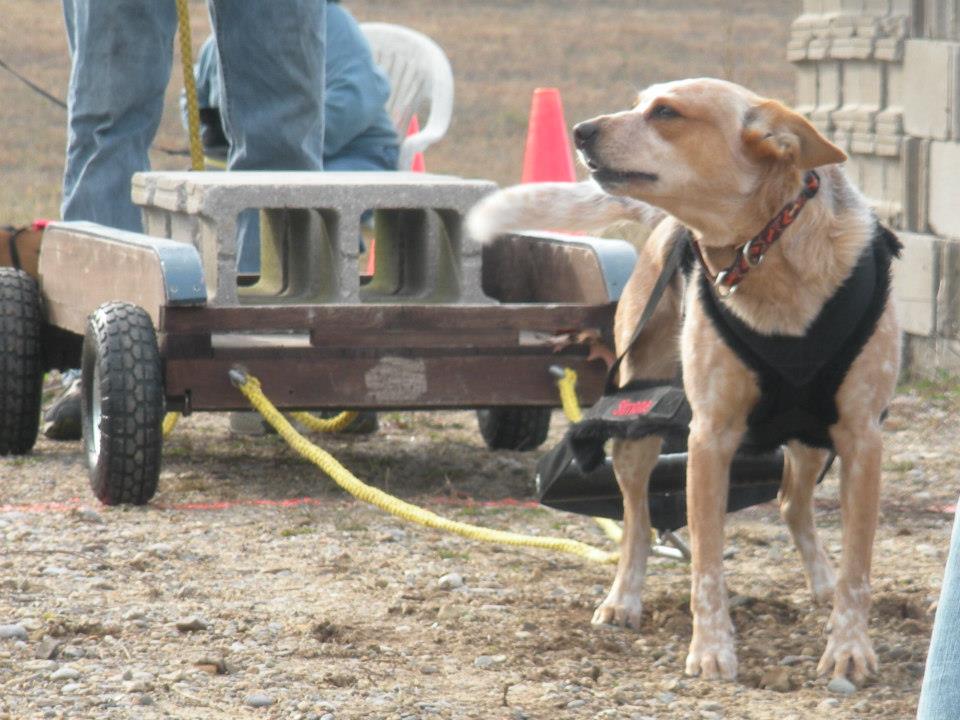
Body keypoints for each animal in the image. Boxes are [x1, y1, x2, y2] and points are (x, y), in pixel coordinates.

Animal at [468, 77, 904, 680]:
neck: (765, 254)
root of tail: (666, 226)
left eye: (666, 113)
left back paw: (821, 584)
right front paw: (712, 649)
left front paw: (849, 649)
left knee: (792, 503)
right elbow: (706, 565)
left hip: (813, 438)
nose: (580, 130)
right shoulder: (710, 437)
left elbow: (858, 568)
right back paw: (623, 600)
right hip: (637, 427)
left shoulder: (861, 438)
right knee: (637, 522)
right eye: (637, 104)